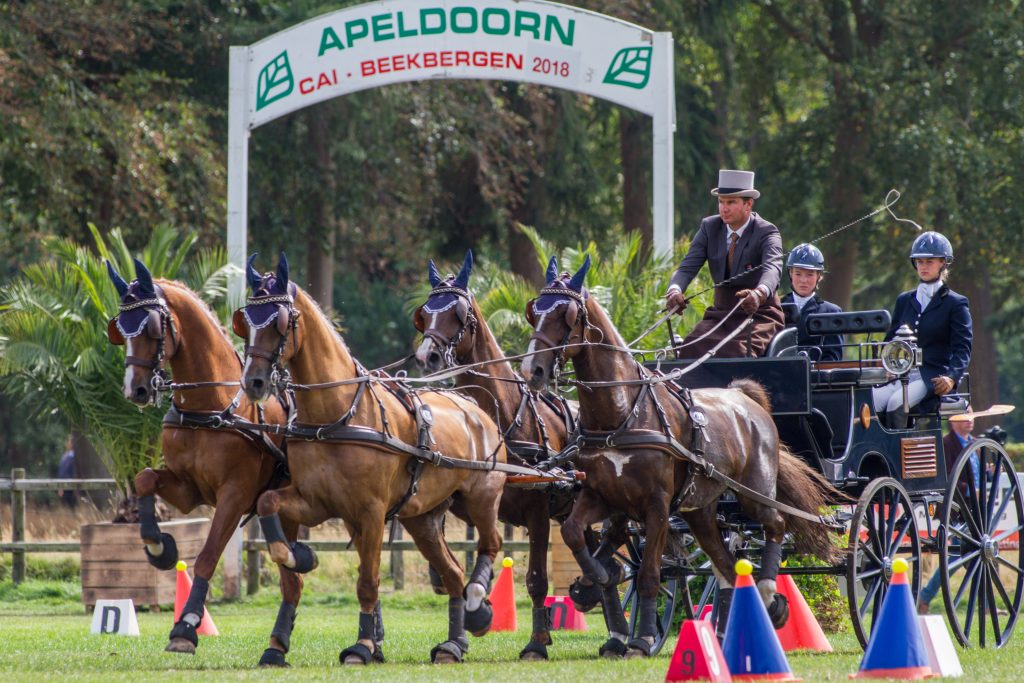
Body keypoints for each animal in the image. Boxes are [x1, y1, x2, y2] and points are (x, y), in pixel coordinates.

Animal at [108, 259, 299, 663]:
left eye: (151, 325)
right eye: (119, 329)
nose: (136, 389)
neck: (212, 405)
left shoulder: (234, 494)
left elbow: (208, 556)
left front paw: (186, 627)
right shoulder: (188, 489)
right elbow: (145, 478)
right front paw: (160, 549)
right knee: (293, 581)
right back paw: (278, 646)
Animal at [240, 253, 512, 663]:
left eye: (281, 321)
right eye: (246, 321)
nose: (253, 381)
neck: (337, 414)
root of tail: (477, 409)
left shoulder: (370, 512)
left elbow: (368, 582)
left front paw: (363, 646)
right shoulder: (316, 502)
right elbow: (269, 505)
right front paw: (297, 558)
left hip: (482, 497)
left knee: (490, 543)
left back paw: (478, 605)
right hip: (421, 519)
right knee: (451, 573)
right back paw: (453, 643)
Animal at [411, 249, 581, 655]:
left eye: (460, 313)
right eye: (425, 313)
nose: (427, 355)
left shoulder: (538, 512)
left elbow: (536, 579)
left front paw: (536, 642)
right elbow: (452, 570)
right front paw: (463, 628)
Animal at [520, 255, 839, 655]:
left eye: (567, 314)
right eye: (534, 311)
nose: (532, 370)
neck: (623, 412)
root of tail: (745, 396)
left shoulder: (656, 505)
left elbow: (649, 574)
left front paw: (641, 638)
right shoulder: (600, 496)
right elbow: (575, 533)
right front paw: (598, 579)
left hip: (755, 493)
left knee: (775, 526)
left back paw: (770, 596)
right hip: (701, 511)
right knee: (727, 566)